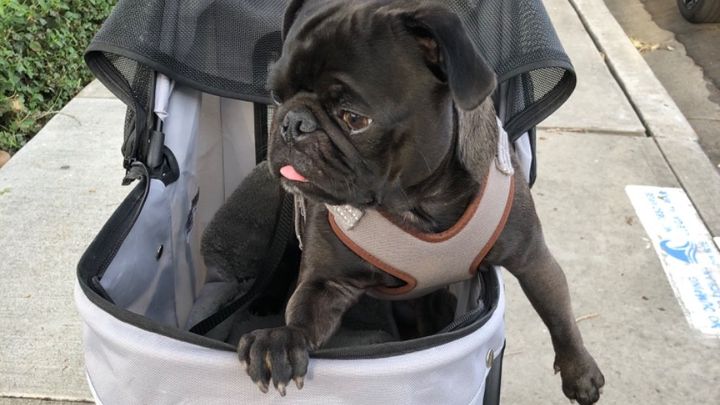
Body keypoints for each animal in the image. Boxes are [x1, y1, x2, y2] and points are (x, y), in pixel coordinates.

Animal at [237, 0, 605, 403]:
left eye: (354, 118)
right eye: (276, 96)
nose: (292, 122)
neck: (418, 203)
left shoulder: (531, 258)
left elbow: (558, 311)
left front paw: (580, 371)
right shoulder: (327, 282)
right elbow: (303, 314)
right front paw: (281, 341)